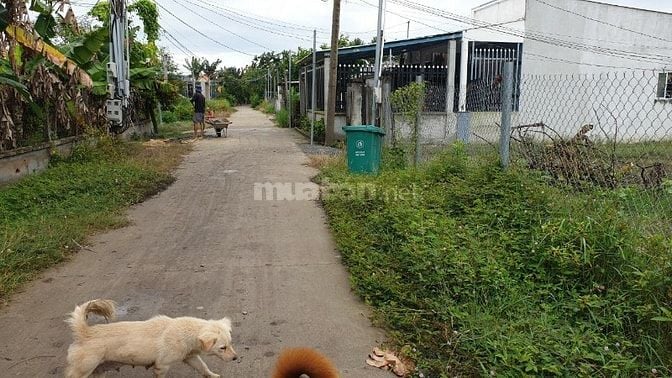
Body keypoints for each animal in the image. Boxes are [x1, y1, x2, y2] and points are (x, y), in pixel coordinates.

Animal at [63, 300, 236, 376]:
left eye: (230, 344)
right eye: (222, 348)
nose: (235, 358)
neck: (185, 332)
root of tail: (84, 331)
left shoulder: (191, 358)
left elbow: (203, 368)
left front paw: (213, 375)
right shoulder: (162, 366)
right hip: (82, 370)